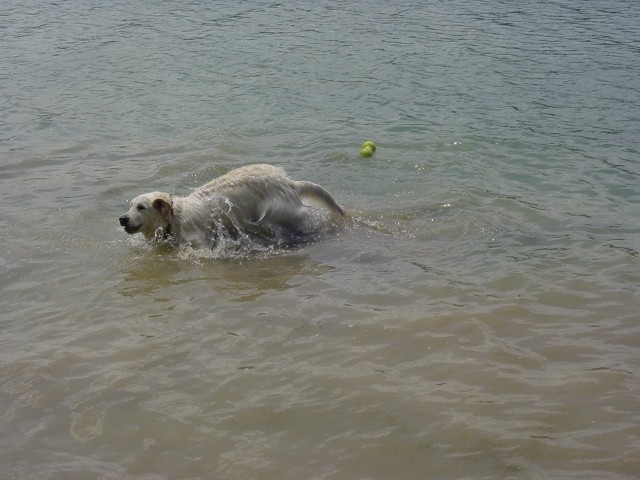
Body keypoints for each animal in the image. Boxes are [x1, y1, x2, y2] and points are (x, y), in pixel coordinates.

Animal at [120, 164, 348, 248]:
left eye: (141, 207)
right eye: (130, 205)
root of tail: (290, 183)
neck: (173, 218)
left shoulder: (198, 242)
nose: (122, 218)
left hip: (276, 211)